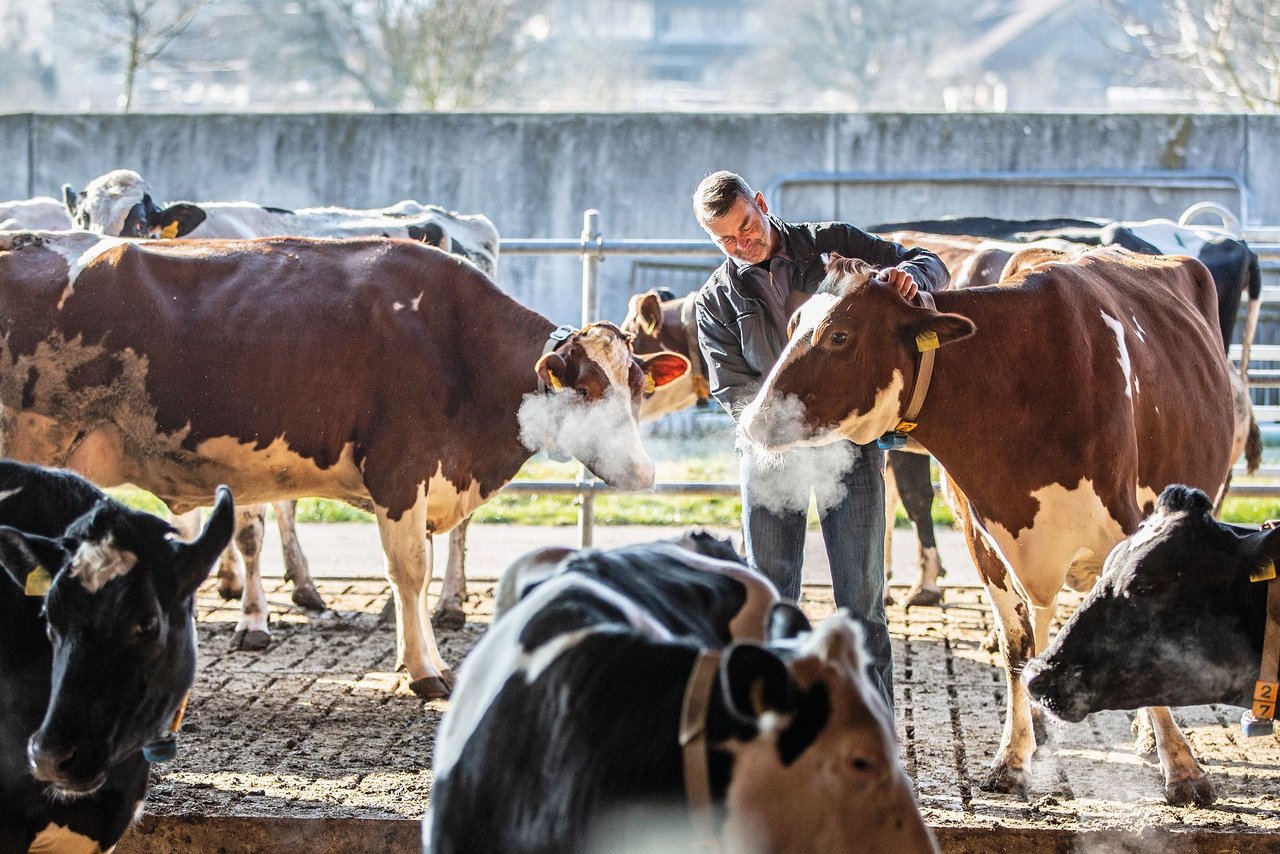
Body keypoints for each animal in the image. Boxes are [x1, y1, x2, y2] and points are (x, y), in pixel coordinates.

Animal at [0, 230, 691, 696]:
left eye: (638, 384)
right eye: (586, 387)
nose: (645, 474)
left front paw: (422, 657)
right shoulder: (400, 471)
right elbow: (409, 571)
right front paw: (424, 671)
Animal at [742, 245, 1239, 804]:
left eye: (840, 335)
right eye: (794, 324)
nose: (754, 419)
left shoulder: (1128, 530)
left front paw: (1182, 768)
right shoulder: (985, 541)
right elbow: (1016, 648)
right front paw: (1012, 758)